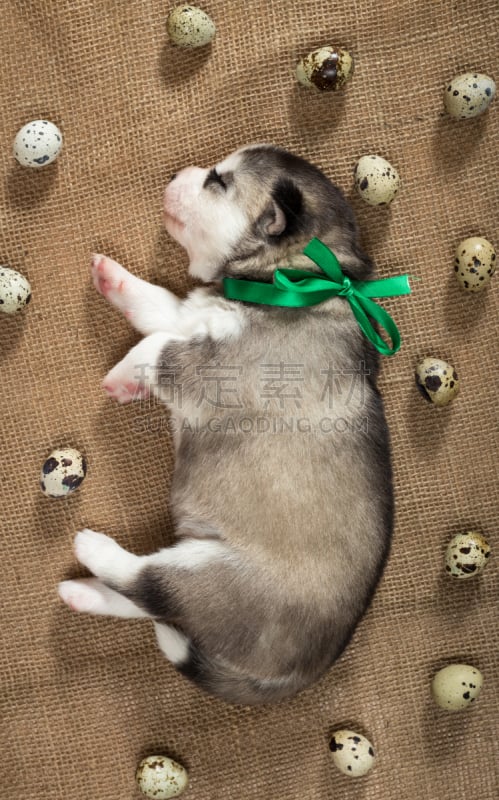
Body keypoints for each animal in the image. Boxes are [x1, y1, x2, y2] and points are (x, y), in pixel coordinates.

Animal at [58, 145, 394, 708]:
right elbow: (157, 304)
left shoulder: (217, 366)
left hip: (209, 576)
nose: (177, 172)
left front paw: (124, 377)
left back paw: (93, 550)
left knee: (149, 587)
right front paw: (115, 278)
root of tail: (290, 677)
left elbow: (155, 347)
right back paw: (79, 592)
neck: (292, 279)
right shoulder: (193, 313)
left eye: (217, 182)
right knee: (151, 605)